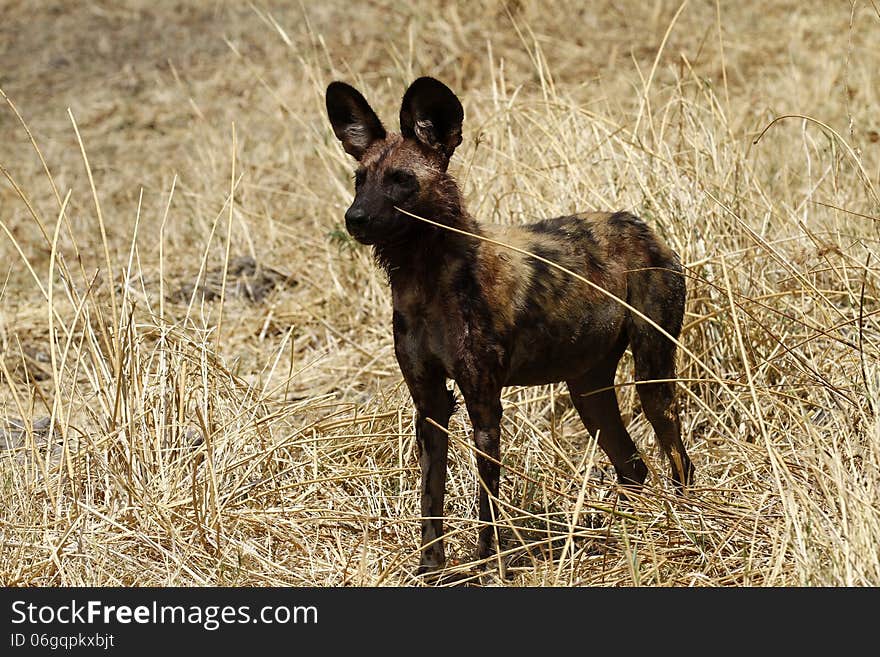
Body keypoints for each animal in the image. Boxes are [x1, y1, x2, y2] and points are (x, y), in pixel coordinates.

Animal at [324, 77, 696, 572]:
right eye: (360, 180)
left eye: (401, 180)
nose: (355, 218)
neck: (425, 278)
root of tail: (640, 225)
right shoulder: (430, 405)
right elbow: (430, 499)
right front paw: (431, 570)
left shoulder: (484, 404)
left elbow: (487, 504)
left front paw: (485, 565)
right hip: (587, 392)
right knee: (632, 466)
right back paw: (619, 532)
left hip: (652, 377)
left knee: (676, 457)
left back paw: (683, 520)